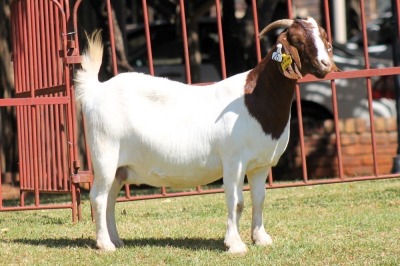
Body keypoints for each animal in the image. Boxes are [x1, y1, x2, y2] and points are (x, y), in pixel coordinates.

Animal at [74, 16, 338, 254]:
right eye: (296, 39)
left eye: (324, 36)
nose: (325, 64)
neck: (255, 99)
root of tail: (95, 90)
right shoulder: (233, 161)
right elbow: (237, 202)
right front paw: (235, 244)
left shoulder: (260, 165)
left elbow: (259, 198)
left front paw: (261, 238)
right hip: (105, 155)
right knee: (98, 197)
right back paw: (105, 244)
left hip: (120, 167)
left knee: (110, 199)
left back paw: (116, 240)